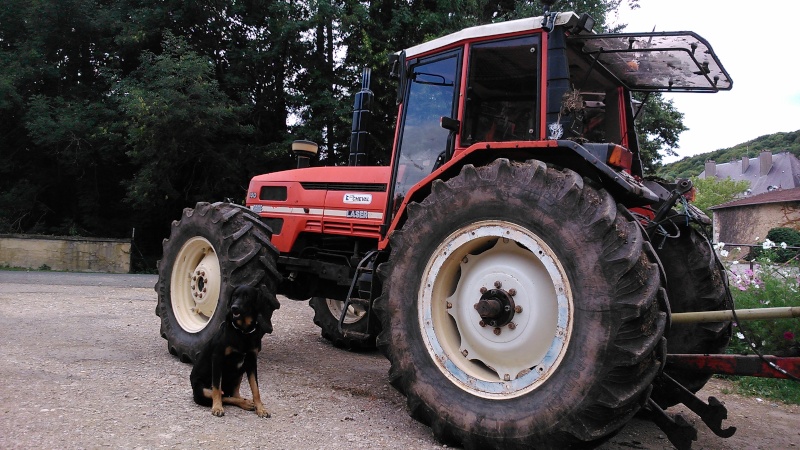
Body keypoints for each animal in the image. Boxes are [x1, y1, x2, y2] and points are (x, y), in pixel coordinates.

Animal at [191, 286, 282, 416]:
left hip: (239, 372)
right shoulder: (217, 358)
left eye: (247, 296)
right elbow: (217, 388)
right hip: (201, 390)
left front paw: (261, 409)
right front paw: (217, 407)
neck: (243, 331)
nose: (234, 307)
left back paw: (245, 401)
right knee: (223, 396)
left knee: (233, 394)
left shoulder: (251, 362)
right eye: (234, 296)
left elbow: (256, 389)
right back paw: (243, 403)